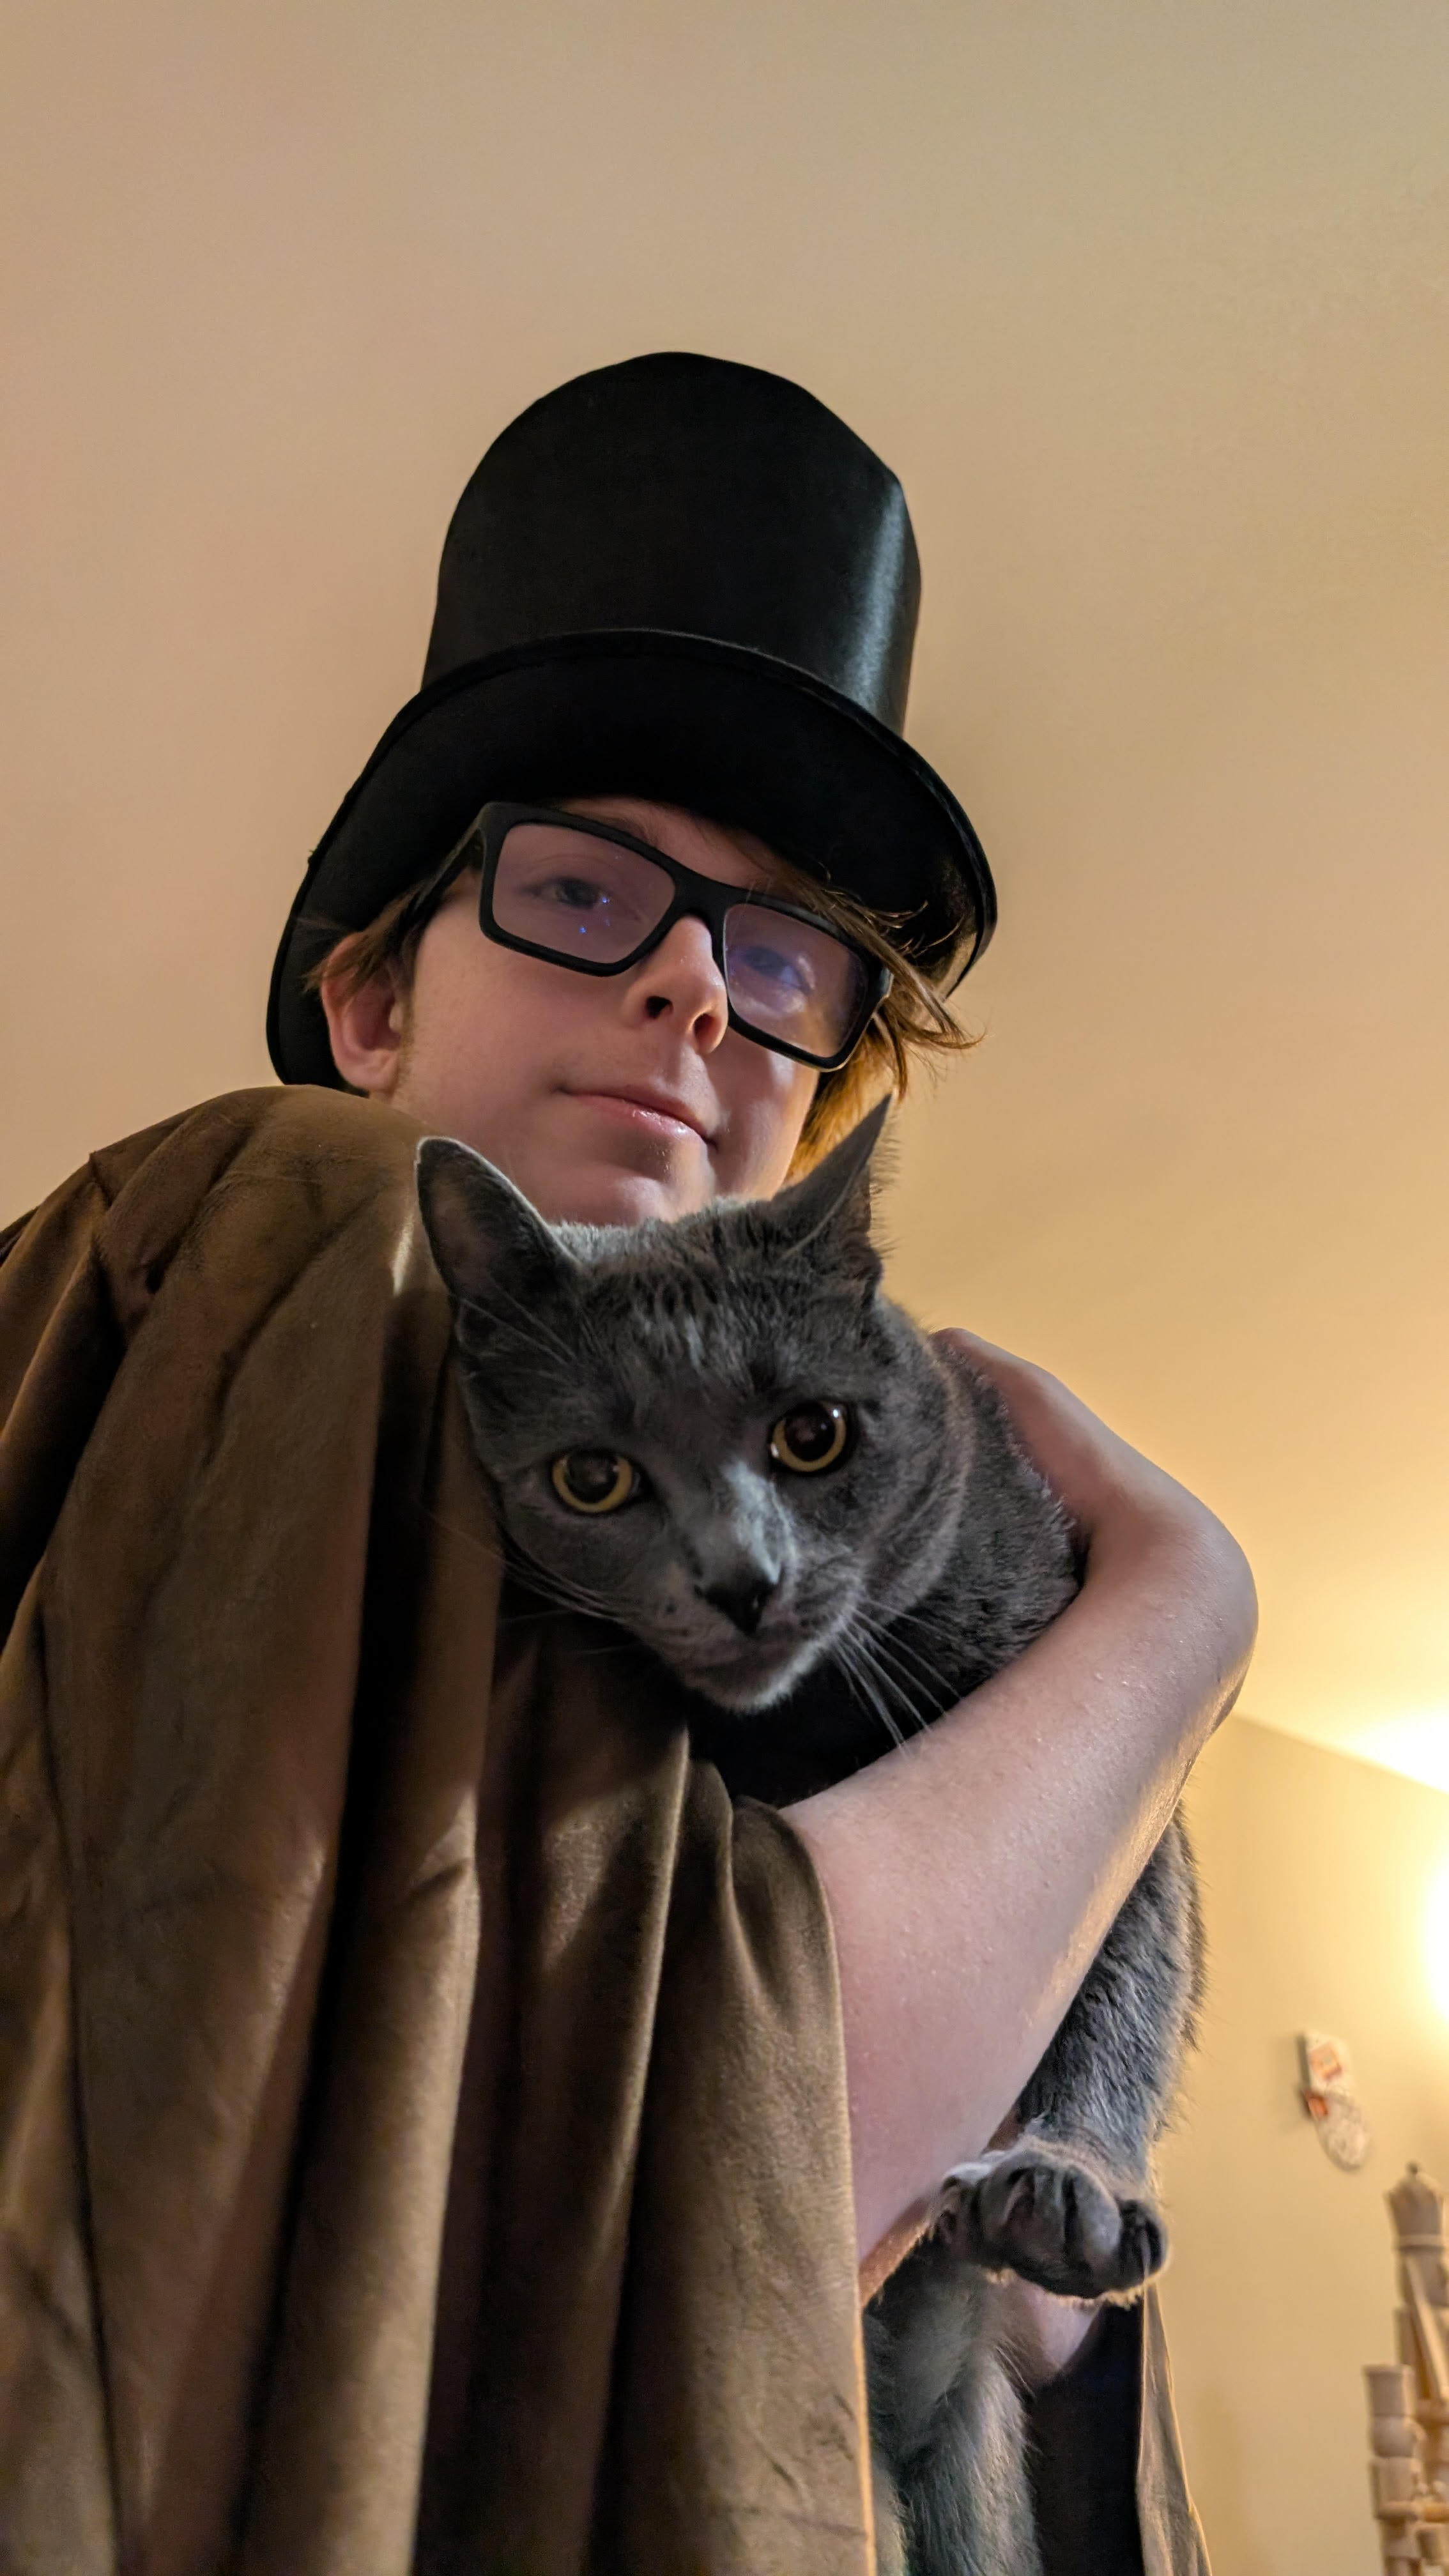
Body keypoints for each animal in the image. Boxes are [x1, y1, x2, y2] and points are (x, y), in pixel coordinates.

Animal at [416, 1102, 1202, 2576]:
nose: (742, 1579)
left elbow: (1129, 1973)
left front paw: (1066, 2181)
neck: (810, 1722)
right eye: (594, 1477)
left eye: (813, 1436)